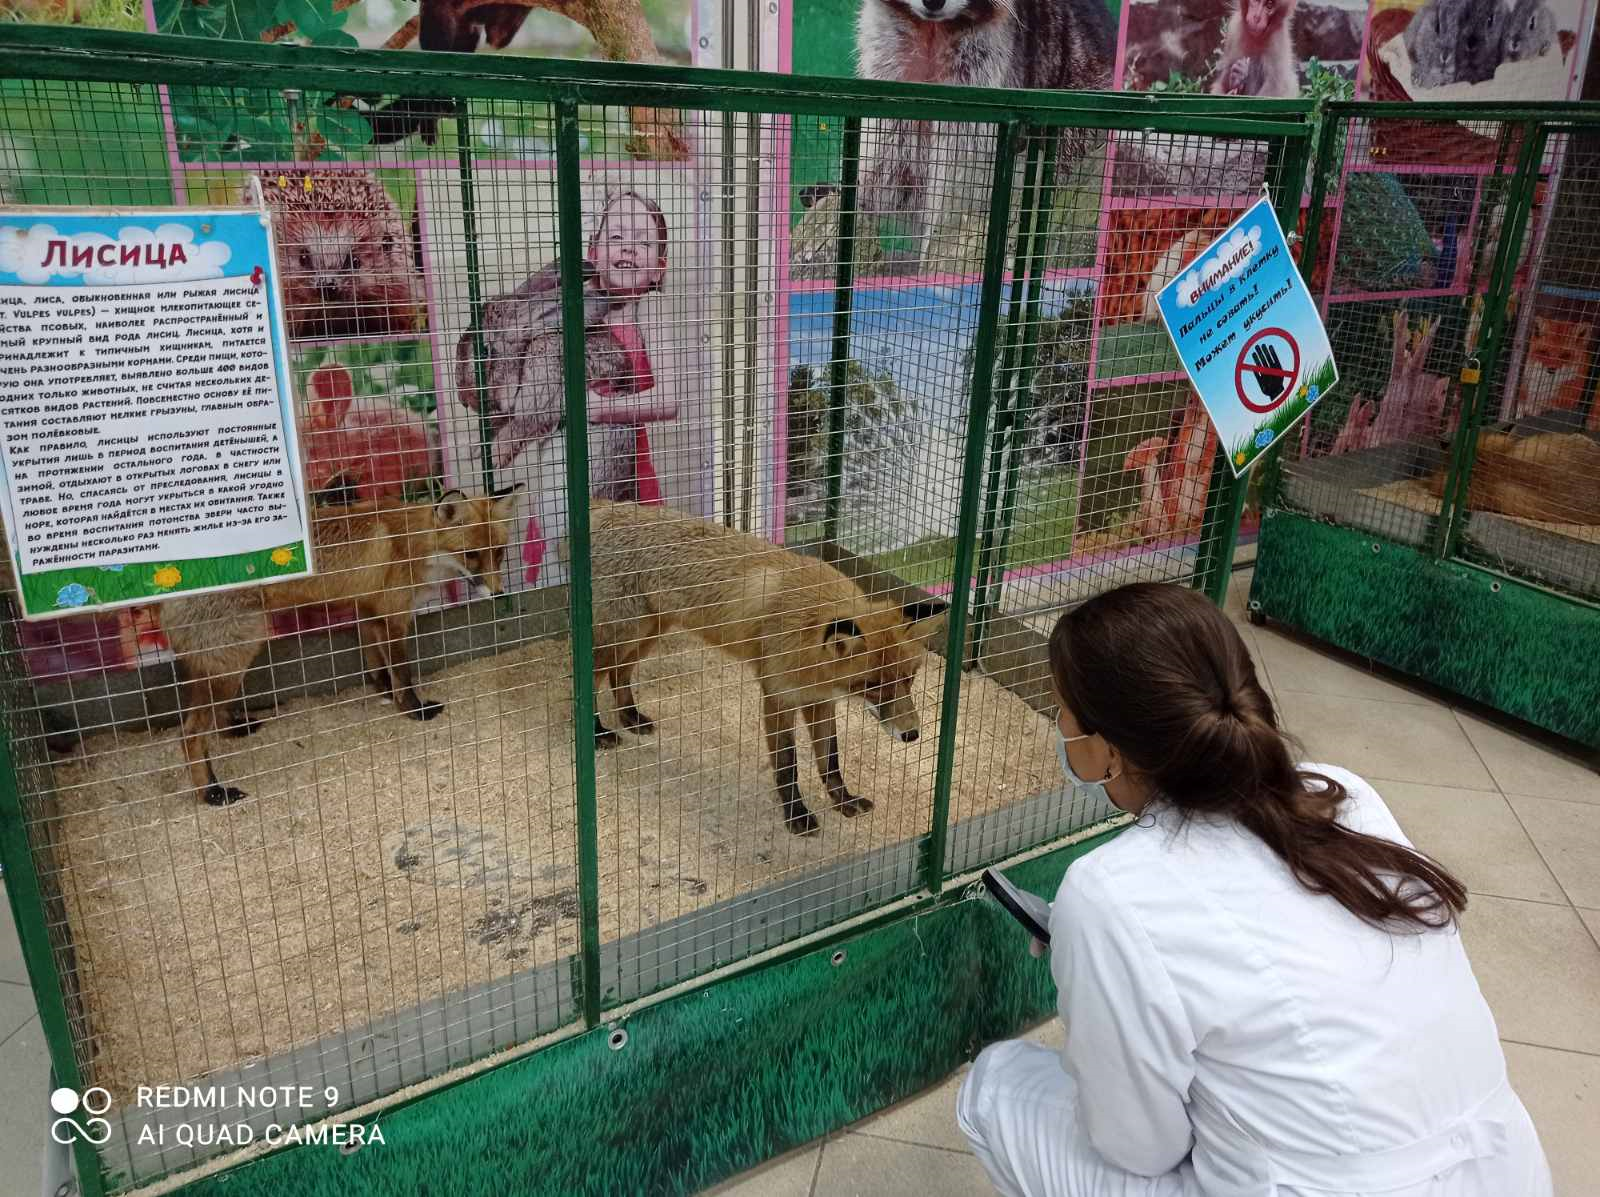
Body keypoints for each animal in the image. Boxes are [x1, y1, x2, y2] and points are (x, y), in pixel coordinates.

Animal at [158, 483, 518, 803]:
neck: (411, 543)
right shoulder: (394, 617)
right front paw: (414, 710)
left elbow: (377, 666)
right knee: (189, 733)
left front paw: (385, 694)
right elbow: (402, 673)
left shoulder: (368, 611)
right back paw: (212, 792)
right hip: (234, 656)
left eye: (499, 552)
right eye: (471, 555)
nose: (499, 593)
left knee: (208, 719)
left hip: (222, 662)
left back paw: (232, 730)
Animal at [588, 499, 947, 838]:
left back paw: (629, 717)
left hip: (648, 631)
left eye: (909, 679)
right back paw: (598, 732)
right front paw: (797, 816)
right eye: (872, 686)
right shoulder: (778, 697)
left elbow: (830, 760)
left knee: (620, 674)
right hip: (622, 634)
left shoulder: (819, 700)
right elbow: (788, 765)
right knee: (590, 680)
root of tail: (609, 507)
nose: (911, 734)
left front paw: (843, 800)